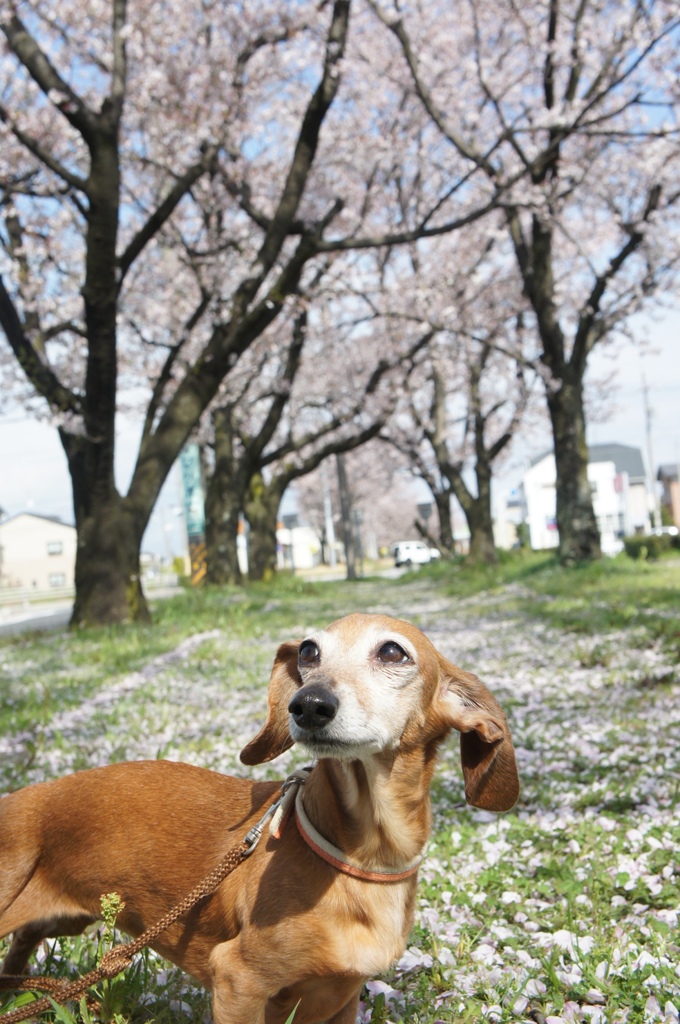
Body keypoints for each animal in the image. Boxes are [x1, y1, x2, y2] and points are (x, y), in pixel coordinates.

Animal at [0, 610, 518, 1019]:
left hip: (58, 922)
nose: (308, 705)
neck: (364, 859)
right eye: (309, 651)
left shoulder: (341, 1001)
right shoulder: (237, 980)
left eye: (393, 652)